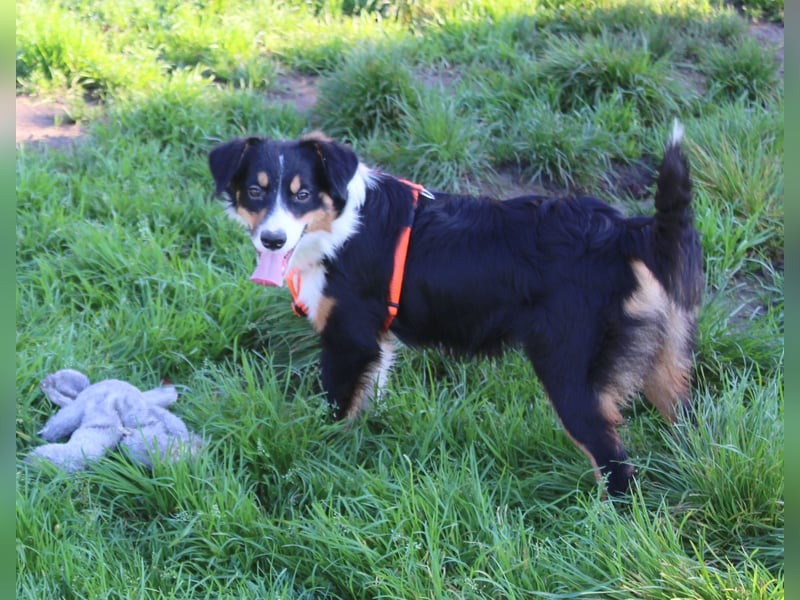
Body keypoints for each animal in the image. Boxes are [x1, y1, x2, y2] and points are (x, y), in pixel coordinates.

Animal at [209, 123, 704, 496]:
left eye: (302, 194)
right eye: (255, 191)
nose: (272, 240)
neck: (342, 227)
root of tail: (624, 230)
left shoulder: (348, 340)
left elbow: (334, 410)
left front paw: (317, 455)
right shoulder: (375, 343)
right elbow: (367, 399)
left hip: (570, 373)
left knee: (615, 465)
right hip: (666, 364)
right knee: (689, 423)